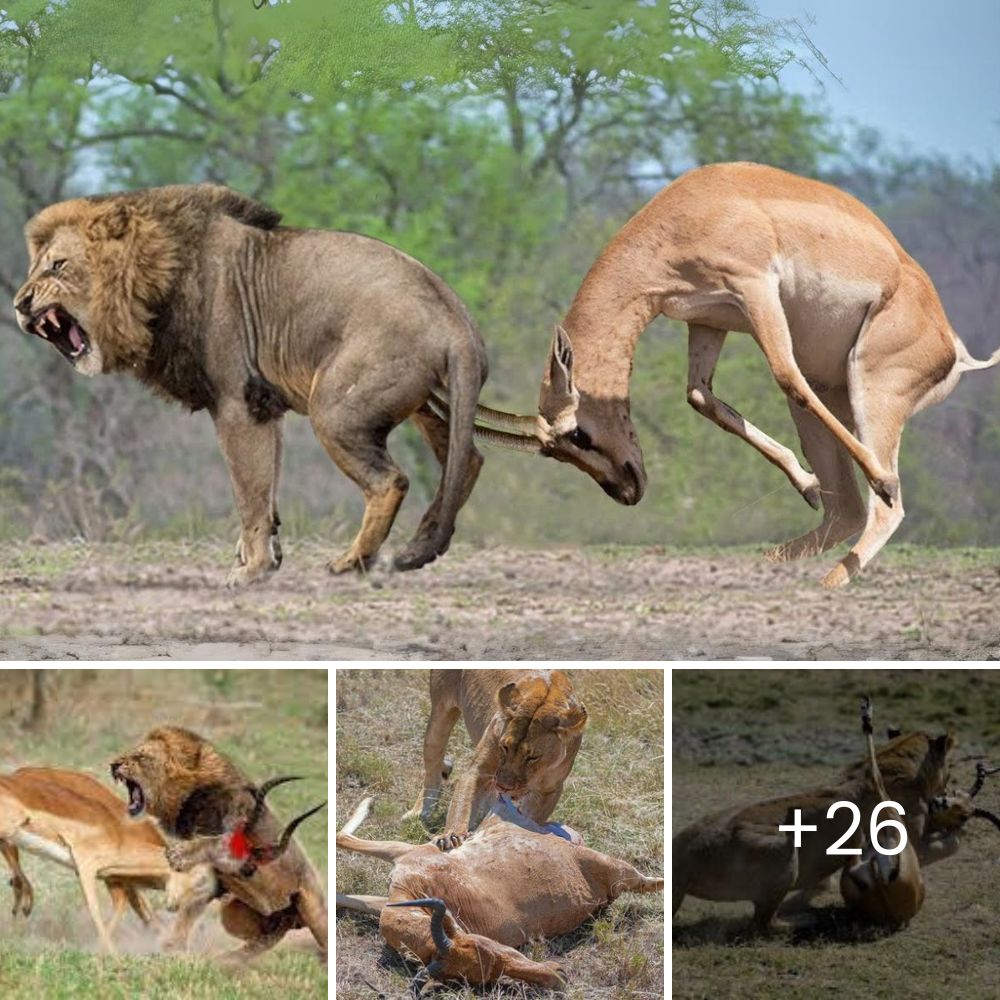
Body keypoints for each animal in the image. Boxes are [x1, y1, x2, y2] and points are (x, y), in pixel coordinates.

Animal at [11, 184, 488, 584]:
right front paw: (261, 558)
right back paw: (418, 549)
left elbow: (249, 492)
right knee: (467, 458)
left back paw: (352, 561)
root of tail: (457, 321)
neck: (156, 280)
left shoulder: (237, 403)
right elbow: (267, 487)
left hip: (336, 408)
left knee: (390, 481)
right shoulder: (264, 405)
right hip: (424, 402)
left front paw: (252, 570)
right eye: (34, 267)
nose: (18, 303)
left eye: (57, 265)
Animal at [109, 728, 328, 960]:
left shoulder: (238, 842)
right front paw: (171, 943)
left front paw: (178, 856)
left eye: (141, 757)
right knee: (261, 941)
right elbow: (192, 905)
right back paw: (227, 959)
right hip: (236, 913)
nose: (113, 765)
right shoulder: (219, 879)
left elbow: (212, 843)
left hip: (314, 911)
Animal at [338, 792, 664, 988]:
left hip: (615, 866)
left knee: (649, 881)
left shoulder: (410, 853)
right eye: (482, 977)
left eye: (486, 947)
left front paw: (368, 802)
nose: (558, 975)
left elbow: (343, 838)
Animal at [402, 668, 584, 848]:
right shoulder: (478, 771)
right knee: (433, 769)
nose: (503, 786)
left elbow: (528, 817)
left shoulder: (549, 790)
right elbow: (462, 804)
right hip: (439, 714)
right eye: (504, 747)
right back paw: (420, 812)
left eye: (533, 757)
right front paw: (451, 836)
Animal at [456, 162, 1000, 584]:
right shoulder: (707, 319)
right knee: (846, 510)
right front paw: (805, 485)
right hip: (832, 398)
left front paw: (878, 480)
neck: (692, 206)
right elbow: (700, 398)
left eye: (578, 434)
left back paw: (870, 510)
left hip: (870, 386)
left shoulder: (754, 287)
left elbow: (785, 375)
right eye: (555, 451)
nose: (629, 491)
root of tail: (952, 344)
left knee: (887, 507)